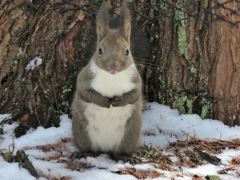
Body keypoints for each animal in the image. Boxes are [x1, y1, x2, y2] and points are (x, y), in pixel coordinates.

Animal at [71, 0, 142, 163]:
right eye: (100, 50)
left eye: (127, 51)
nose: (113, 65)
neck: (112, 77)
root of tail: (105, 147)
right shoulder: (85, 77)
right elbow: (84, 91)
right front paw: (102, 100)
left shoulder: (136, 81)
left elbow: (134, 94)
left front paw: (119, 101)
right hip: (82, 131)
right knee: (91, 149)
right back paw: (85, 154)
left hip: (130, 134)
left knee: (119, 152)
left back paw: (125, 156)